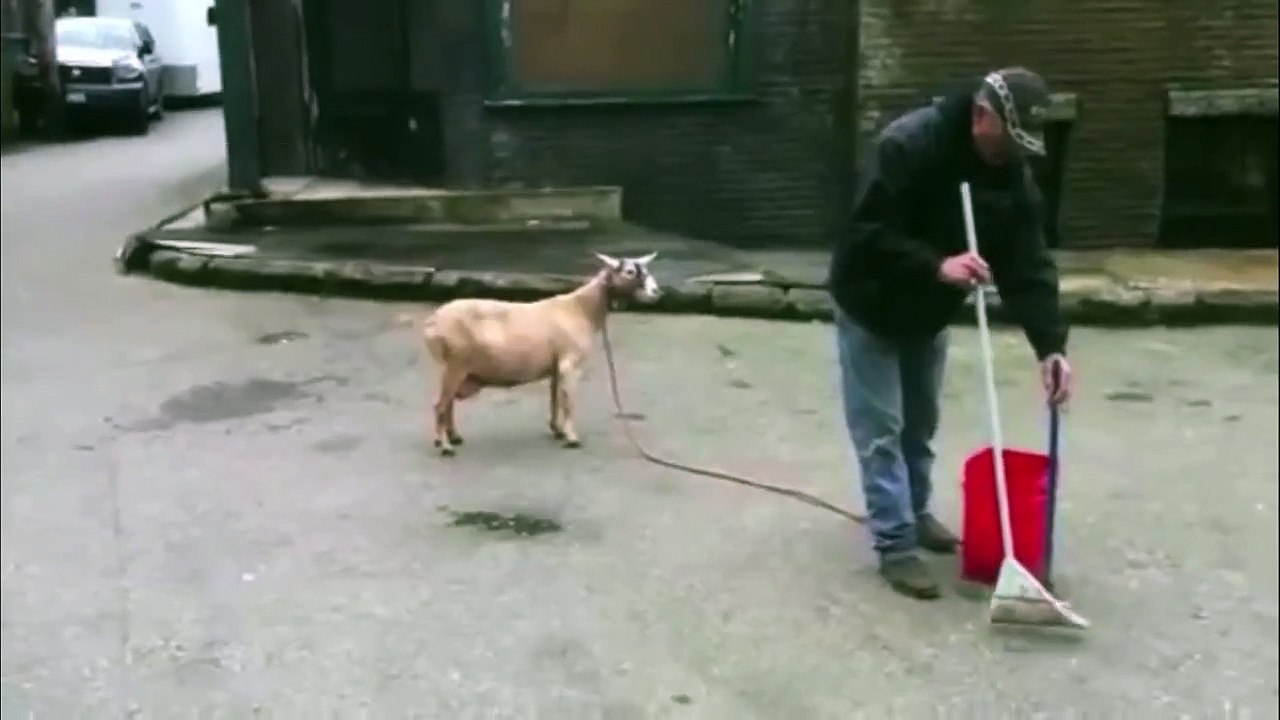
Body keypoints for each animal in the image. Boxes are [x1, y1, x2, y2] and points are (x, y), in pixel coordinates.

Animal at [419, 252, 662, 456]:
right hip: (455, 364)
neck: (580, 309)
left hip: (456, 367)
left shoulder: (556, 366)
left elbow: (555, 397)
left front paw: (557, 430)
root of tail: (431, 323)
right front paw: (572, 437)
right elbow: (568, 401)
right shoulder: (570, 363)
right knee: (440, 404)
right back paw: (446, 446)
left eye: (645, 269)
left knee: (447, 403)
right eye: (629, 272)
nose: (656, 292)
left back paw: (452, 437)